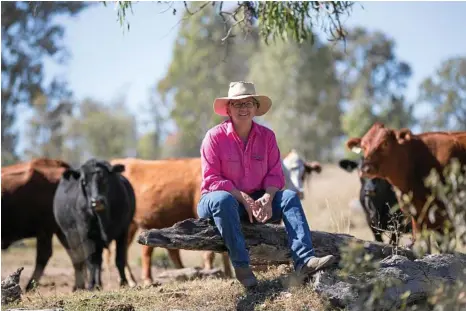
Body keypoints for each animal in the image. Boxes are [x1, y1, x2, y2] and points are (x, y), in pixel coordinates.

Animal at [53, 160, 137, 292]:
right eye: (84, 182)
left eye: (105, 178)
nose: (96, 201)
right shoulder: (86, 235)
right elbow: (91, 261)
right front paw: (91, 285)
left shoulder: (123, 232)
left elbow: (120, 259)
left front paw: (123, 283)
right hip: (70, 237)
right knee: (80, 261)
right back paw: (82, 285)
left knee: (98, 261)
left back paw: (99, 284)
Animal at [104, 158, 231, 288]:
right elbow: (211, 252)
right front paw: (213, 272)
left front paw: (228, 274)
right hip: (126, 225)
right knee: (122, 251)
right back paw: (133, 280)